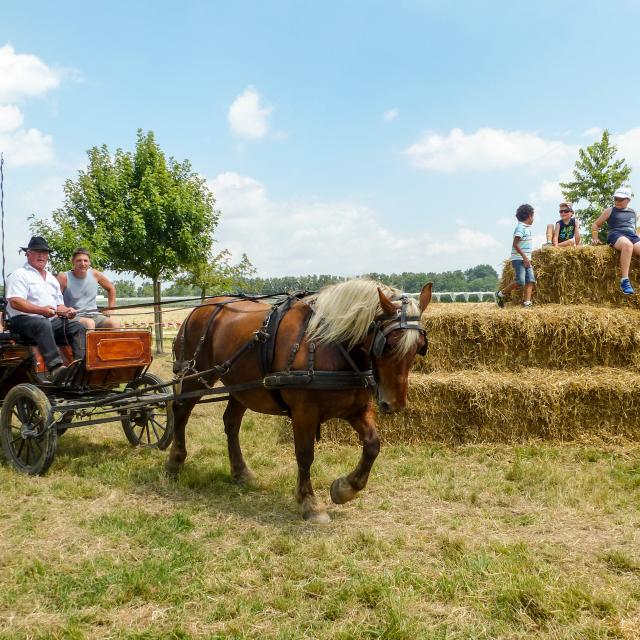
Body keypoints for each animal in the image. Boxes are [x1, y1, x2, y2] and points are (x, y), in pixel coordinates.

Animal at [168, 278, 432, 524]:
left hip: (242, 387)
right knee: (180, 412)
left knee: (231, 423)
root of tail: (199, 308)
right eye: (388, 344)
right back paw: (174, 463)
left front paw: (345, 488)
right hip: (194, 376)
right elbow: (305, 455)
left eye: (420, 346)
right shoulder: (304, 413)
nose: (394, 404)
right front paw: (310, 503)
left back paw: (241, 473)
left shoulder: (357, 408)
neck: (330, 344)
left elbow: (372, 445)